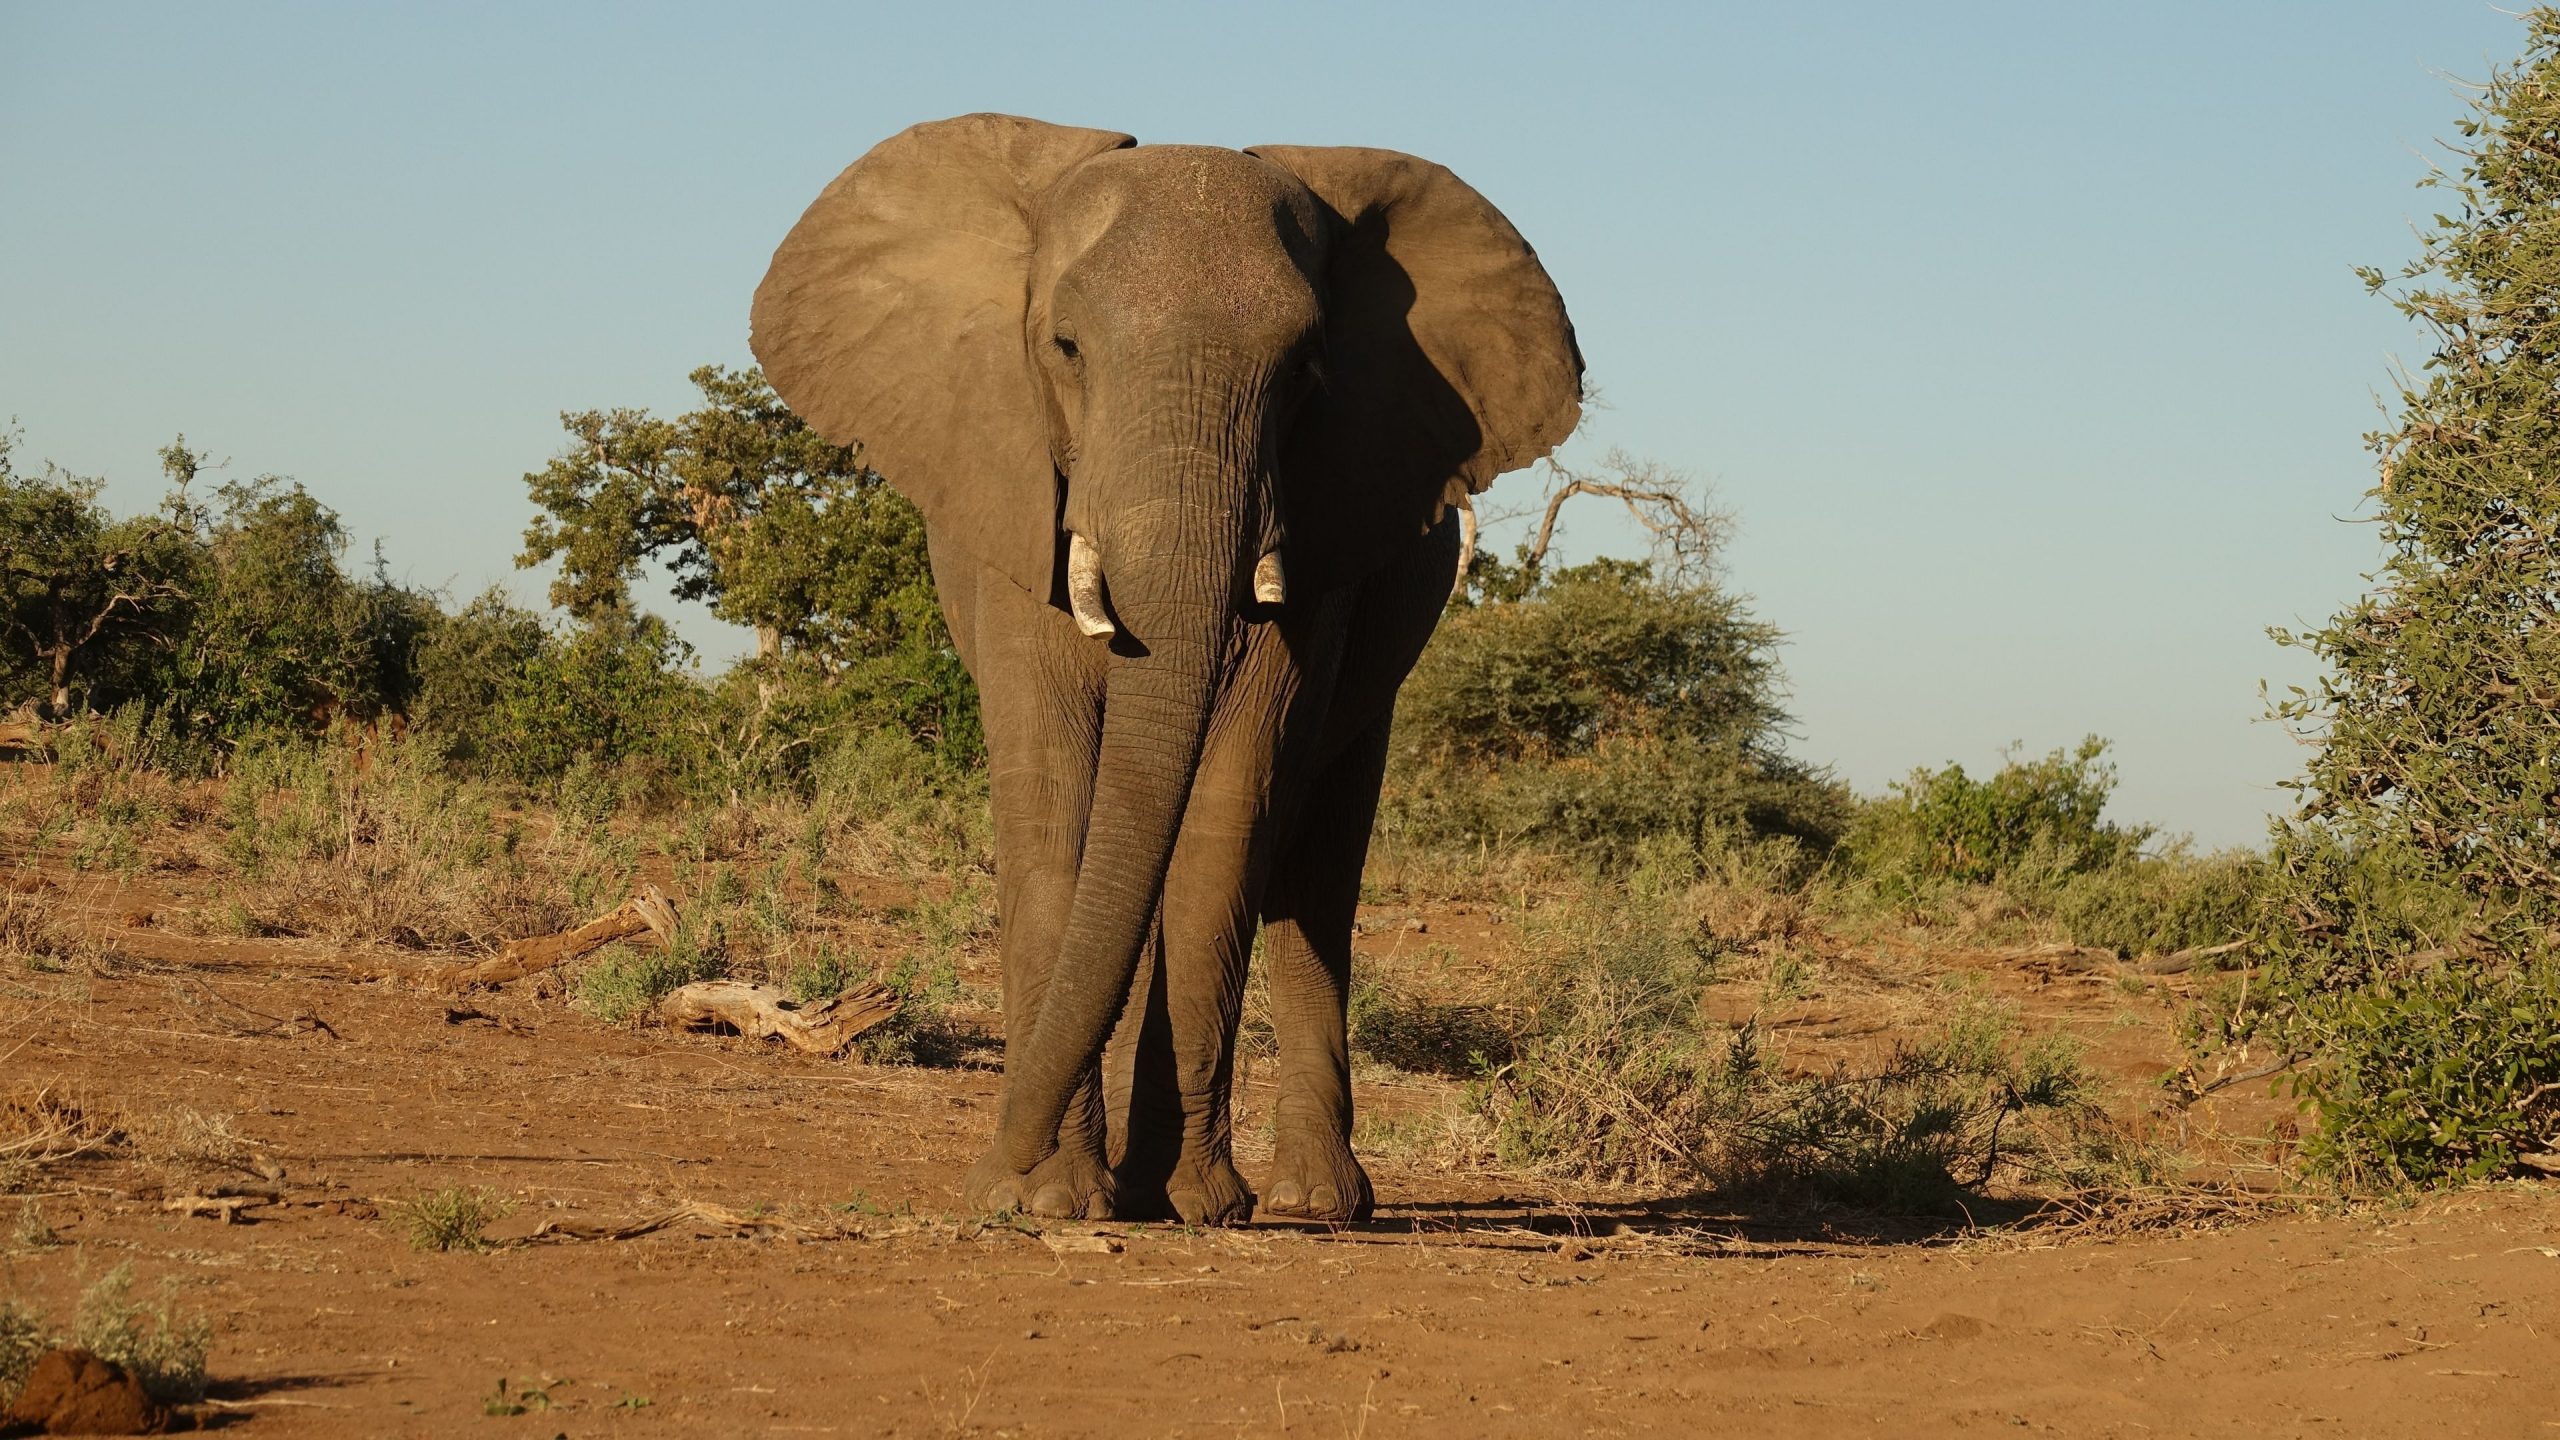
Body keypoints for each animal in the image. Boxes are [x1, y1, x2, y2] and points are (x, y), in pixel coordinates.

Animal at [747, 112, 1576, 1219]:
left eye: (1307, 370)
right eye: (1064, 347)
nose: (988, 1173)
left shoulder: (1319, 532)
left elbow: (1227, 808)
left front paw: (1185, 1203)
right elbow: (1053, 798)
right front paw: (1052, 1199)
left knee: (1317, 876)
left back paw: (1314, 1203)